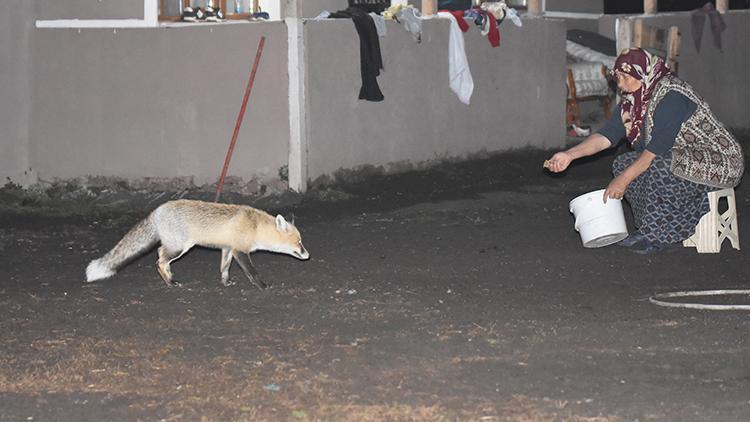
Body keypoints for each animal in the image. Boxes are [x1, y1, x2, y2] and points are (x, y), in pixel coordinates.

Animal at [86, 200, 310, 286]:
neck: (255, 227)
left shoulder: (227, 248)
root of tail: (157, 210)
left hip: (177, 247)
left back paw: (170, 278)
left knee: (160, 255)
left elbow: (224, 268)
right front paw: (263, 286)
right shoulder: (240, 251)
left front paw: (225, 283)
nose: (308, 255)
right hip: (180, 247)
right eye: (299, 242)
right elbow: (252, 272)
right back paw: (170, 282)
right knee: (159, 259)